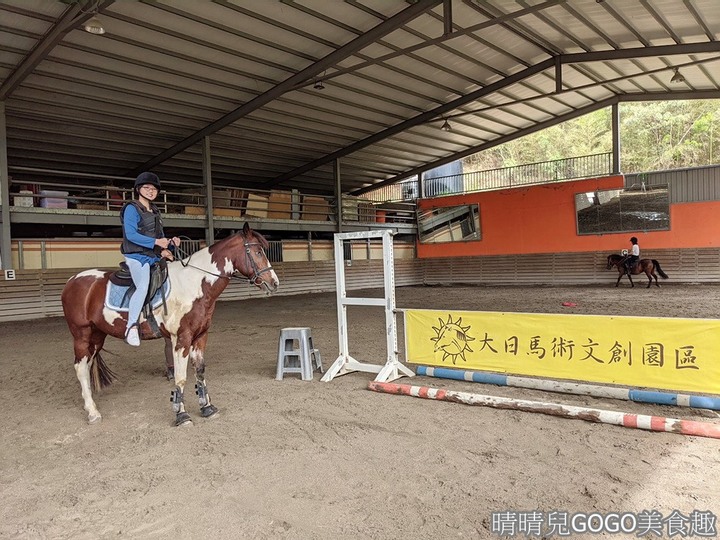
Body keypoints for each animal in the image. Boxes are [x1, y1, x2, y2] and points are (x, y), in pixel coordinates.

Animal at [62, 223, 278, 426]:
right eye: (258, 252)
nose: (274, 282)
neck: (194, 284)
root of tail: (72, 280)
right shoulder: (181, 339)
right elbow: (180, 377)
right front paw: (181, 415)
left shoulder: (200, 336)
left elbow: (200, 372)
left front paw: (207, 407)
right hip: (81, 335)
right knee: (80, 368)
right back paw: (92, 412)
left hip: (97, 336)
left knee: (87, 366)